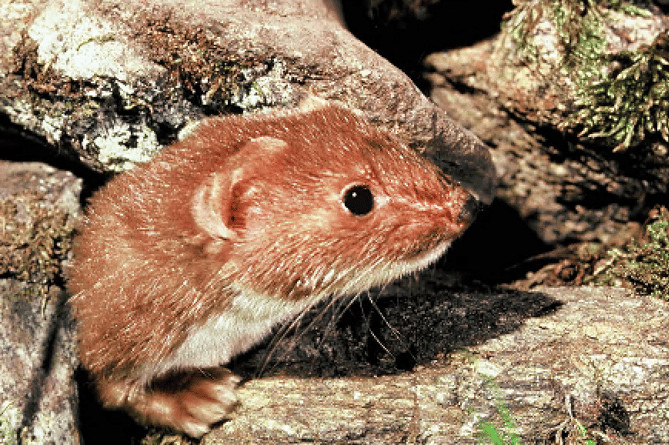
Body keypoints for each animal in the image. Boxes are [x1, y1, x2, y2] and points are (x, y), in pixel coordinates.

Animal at [66, 103, 474, 438]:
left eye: (397, 143)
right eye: (359, 197)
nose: (465, 206)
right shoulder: (120, 335)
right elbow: (115, 393)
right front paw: (197, 397)